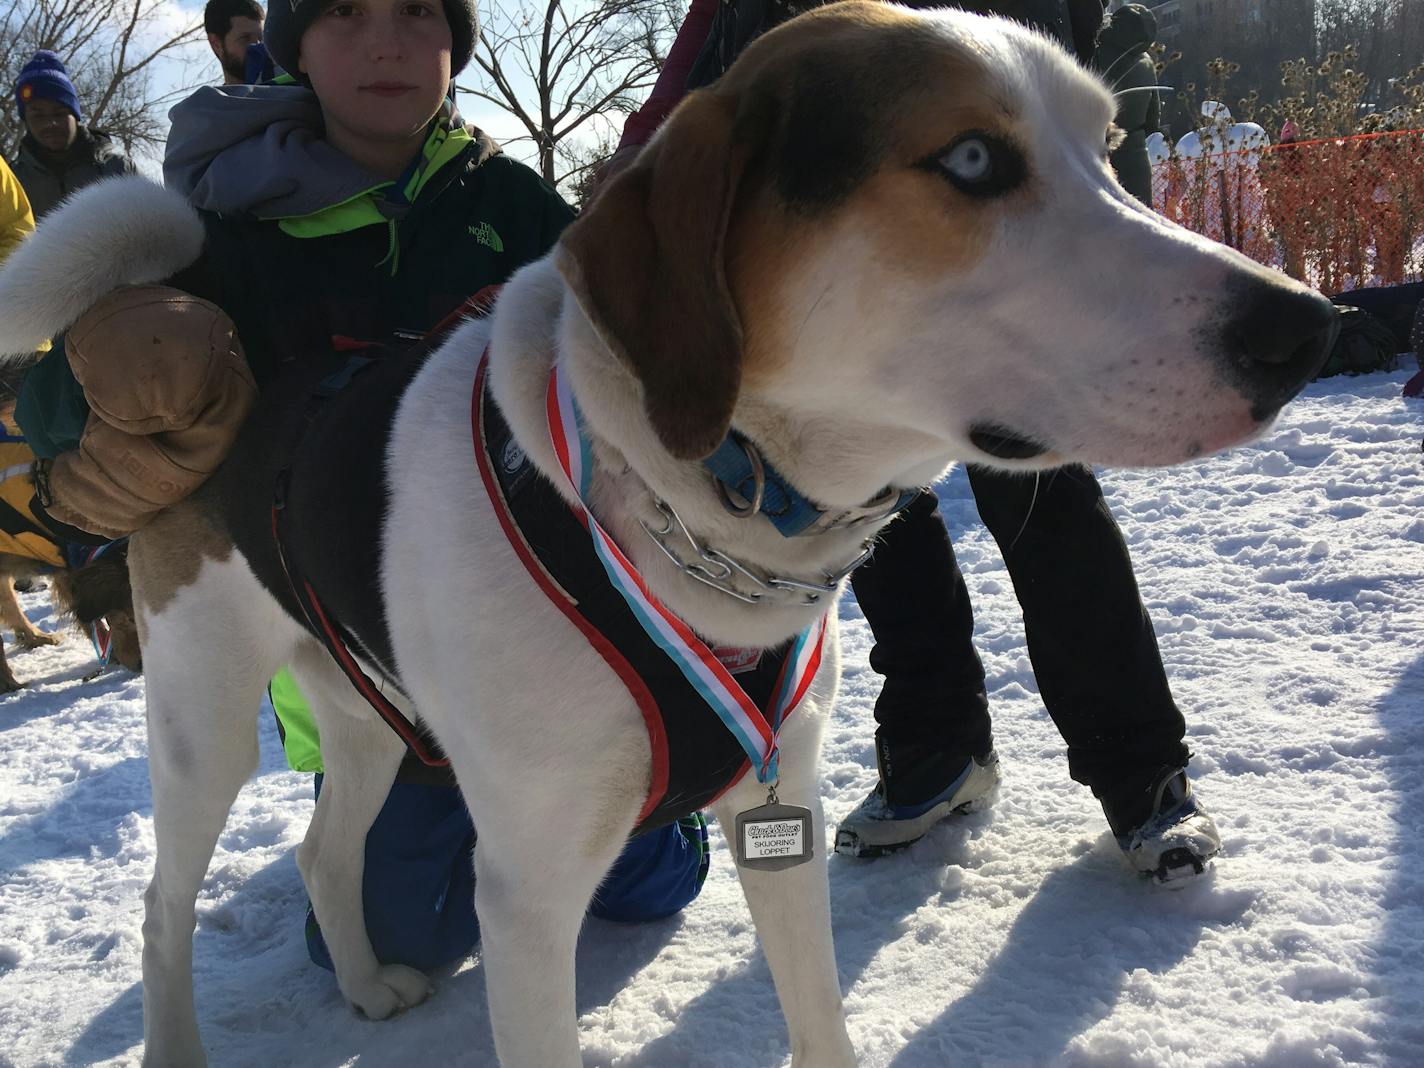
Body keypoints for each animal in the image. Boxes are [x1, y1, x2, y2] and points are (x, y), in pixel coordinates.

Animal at [0, 4, 1332, 1065]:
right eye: (968, 158)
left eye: (1104, 149)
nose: (1301, 327)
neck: (677, 516)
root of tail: (242, 398)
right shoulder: (530, 892)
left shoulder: (776, 808)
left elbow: (819, 1019)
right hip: (206, 728)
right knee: (163, 908)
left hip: (367, 717)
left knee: (332, 852)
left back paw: (371, 987)